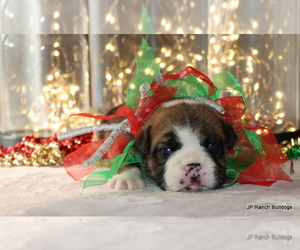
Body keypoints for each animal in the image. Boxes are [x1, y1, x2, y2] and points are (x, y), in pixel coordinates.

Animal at [99, 98, 238, 192]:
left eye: (212, 145)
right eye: (165, 150)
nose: (193, 165)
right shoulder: (124, 136)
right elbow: (124, 156)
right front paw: (127, 177)